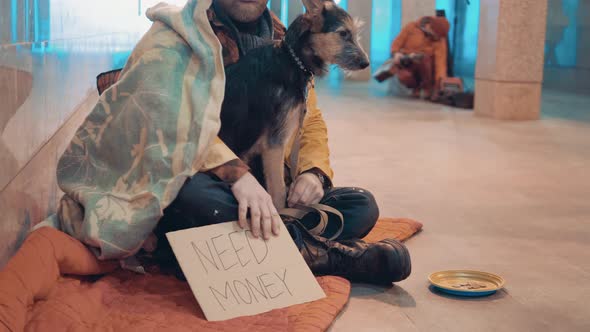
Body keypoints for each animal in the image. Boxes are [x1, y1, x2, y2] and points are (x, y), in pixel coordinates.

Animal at [220, 0, 370, 209]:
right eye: (343, 33)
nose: (366, 63)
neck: (292, 60)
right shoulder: (274, 144)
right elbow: (278, 195)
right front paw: (282, 217)